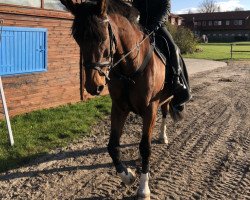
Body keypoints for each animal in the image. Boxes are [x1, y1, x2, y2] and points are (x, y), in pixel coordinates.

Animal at [60, 0, 186, 199]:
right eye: (77, 38)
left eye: (102, 37)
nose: (93, 85)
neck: (130, 68)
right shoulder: (119, 107)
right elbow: (112, 146)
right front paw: (128, 176)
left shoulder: (150, 108)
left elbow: (145, 147)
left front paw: (143, 189)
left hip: (165, 99)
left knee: (165, 115)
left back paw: (162, 136)